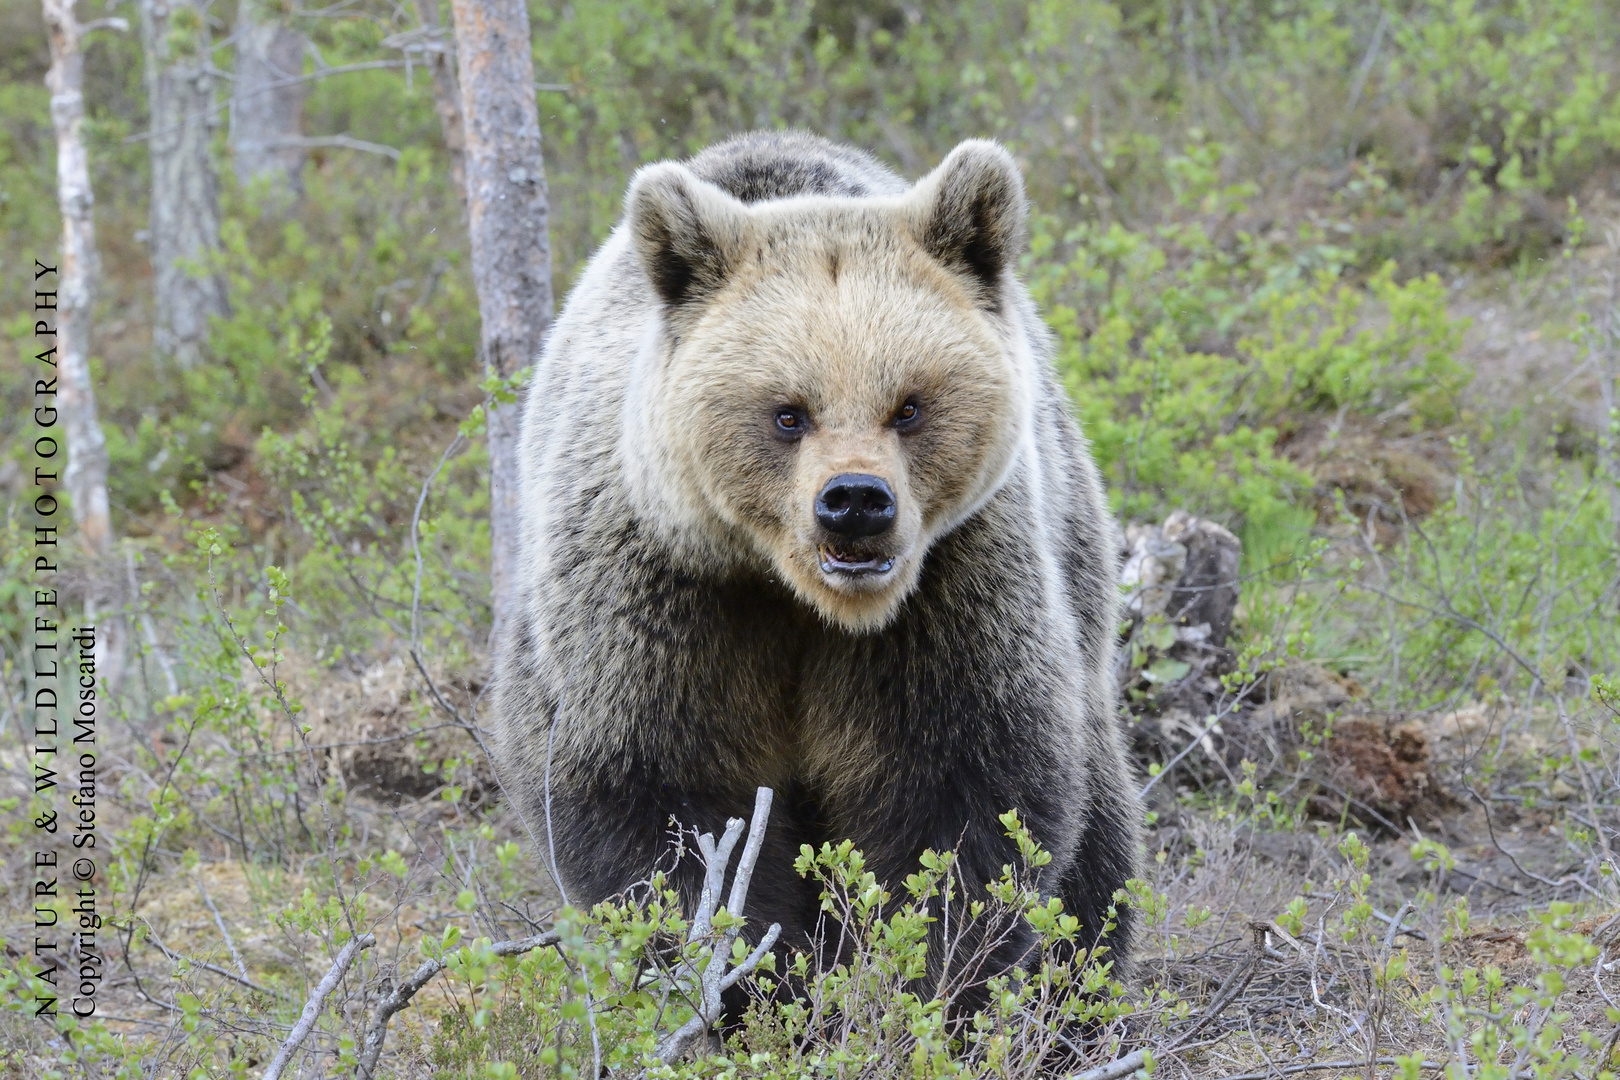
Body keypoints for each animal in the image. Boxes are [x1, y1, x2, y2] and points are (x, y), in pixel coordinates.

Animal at [492, 132, 1140, 990]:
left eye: (909, 405)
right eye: (788, 413)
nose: (856, 502)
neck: (793, 595)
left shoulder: (953, 589)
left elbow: (962, 798)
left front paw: (919, 976)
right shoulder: (657, 601)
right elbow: (658, 809)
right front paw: (753, 976)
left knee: (1101, 831)